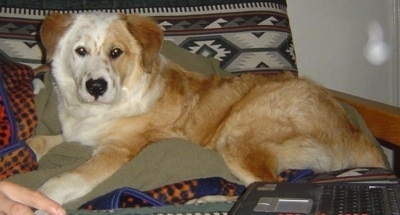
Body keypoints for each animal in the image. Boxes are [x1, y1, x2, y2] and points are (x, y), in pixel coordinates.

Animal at [28, 12, 384, 204]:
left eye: (116, 53)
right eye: (80, 51)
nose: (96, 87)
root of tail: (355, 132)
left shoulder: (116, 152)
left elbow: (62, 180)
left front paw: (39, 199)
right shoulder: (75, 135)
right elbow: (41, 140)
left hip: (239, 133)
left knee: (271, 184)